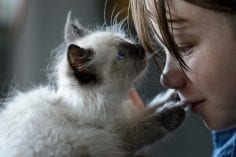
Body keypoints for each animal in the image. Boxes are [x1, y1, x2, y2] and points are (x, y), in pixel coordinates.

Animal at [0, 12, 185, 157]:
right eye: (121, 55)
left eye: (126, 41)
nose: (140, 48)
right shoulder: (117, 136)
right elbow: (144, 127)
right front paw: (173, 113)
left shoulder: (130, 114)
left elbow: (152, 106)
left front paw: (175, 95)